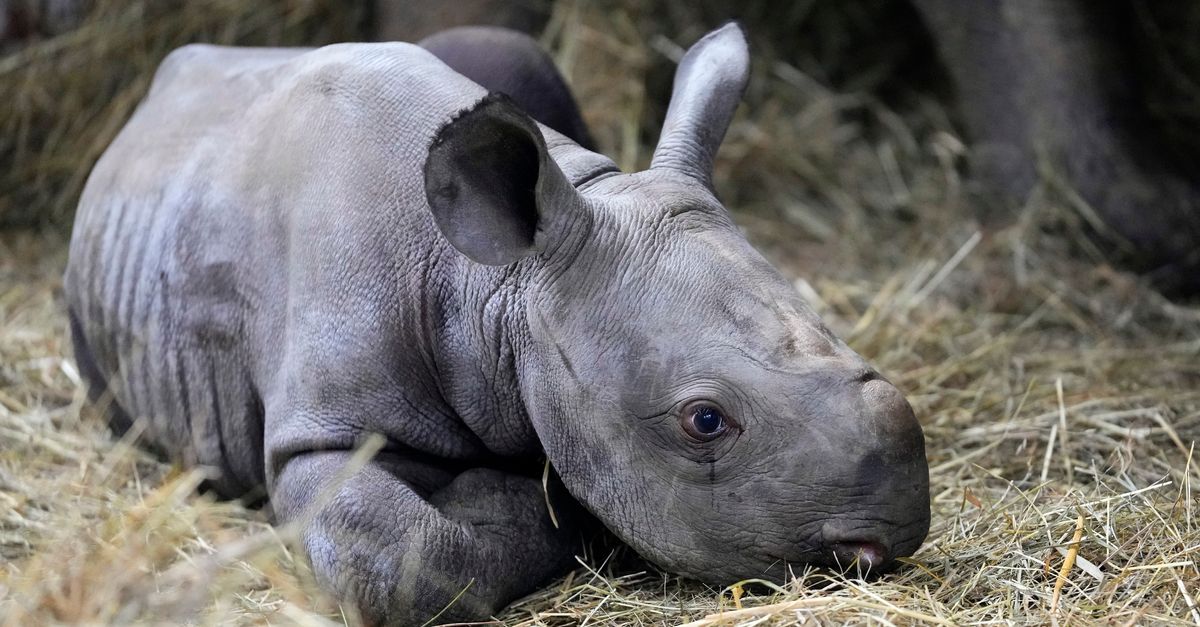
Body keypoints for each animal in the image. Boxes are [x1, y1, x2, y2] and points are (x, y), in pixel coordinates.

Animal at [63, 21, 926, 619]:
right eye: (705, 420)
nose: (899, 523)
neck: (496, 282)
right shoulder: (318, 431)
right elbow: (406, 555)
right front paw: (520, 505)